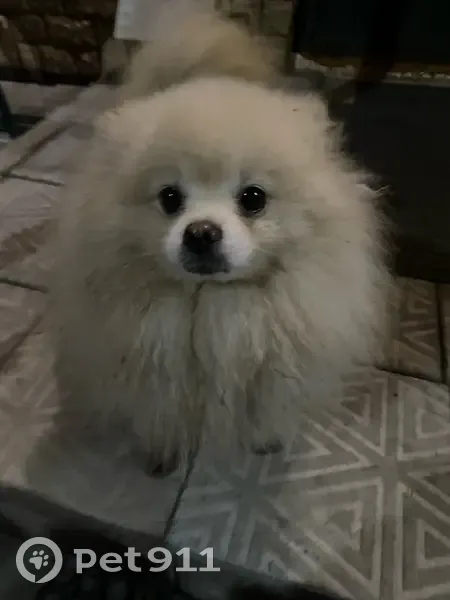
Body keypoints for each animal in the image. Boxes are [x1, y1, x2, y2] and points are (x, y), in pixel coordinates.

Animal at [50, 4, 390, 474]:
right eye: (170, 198)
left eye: (253, 199)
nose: (201, 233)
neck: (215, 307)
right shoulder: (154, 370)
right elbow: (161, 414)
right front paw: (163, 455)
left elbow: (267, 410)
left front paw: (266, 442)